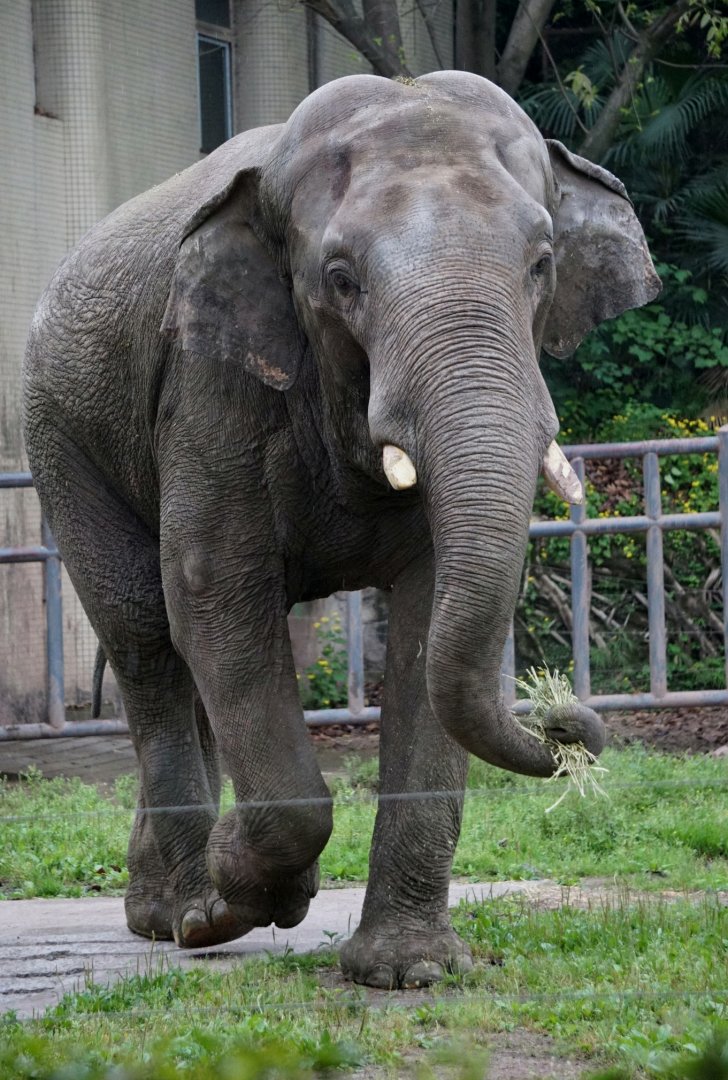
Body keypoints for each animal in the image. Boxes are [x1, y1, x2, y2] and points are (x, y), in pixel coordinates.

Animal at [23, 71, 659, 989]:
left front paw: (405, 972)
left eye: (542, 265)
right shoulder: (209, 389)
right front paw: (240, 895)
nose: (567, 723)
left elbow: (427, 626)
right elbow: (213, 593)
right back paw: (183, 915)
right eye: (341, 278)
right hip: (60, 436)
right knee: (146, 635)